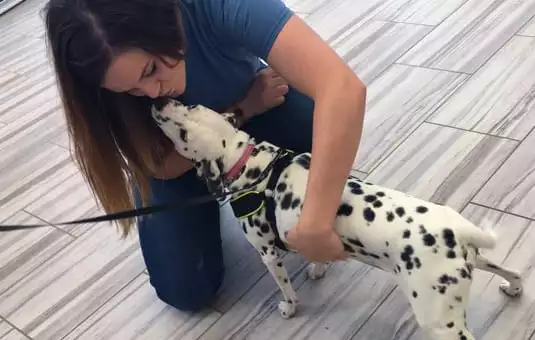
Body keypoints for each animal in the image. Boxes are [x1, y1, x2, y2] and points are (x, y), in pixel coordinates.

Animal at [151, 97, 524, 338]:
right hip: (476, 264)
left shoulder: (268, 253)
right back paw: (513, 288)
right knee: (515, 272)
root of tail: (458, 232)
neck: (255, 167)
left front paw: (289, 308)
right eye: (191, 105)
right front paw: (318, 268)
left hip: (439, 317)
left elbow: (288, 291)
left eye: (183, 134)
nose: (159, 102)